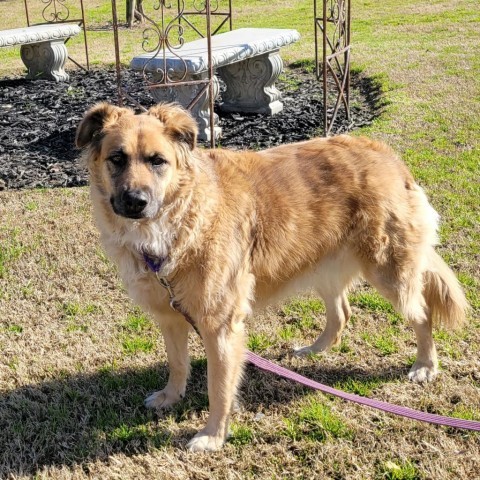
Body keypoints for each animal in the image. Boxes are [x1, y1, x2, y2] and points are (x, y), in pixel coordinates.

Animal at [77, 103, 466, 452]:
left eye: (157, 161)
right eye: (117, 159)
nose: (135, 201)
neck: (179, 218)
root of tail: (387, 155)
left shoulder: (221, 327)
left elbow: (219, 387)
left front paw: (213, 436)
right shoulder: (171, 317)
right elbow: (177, 364)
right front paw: (171, 396)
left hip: (391, 274)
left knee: (422, 314)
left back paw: (425, 365)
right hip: (323, 266)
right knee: (341, 313)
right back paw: (314, 350)